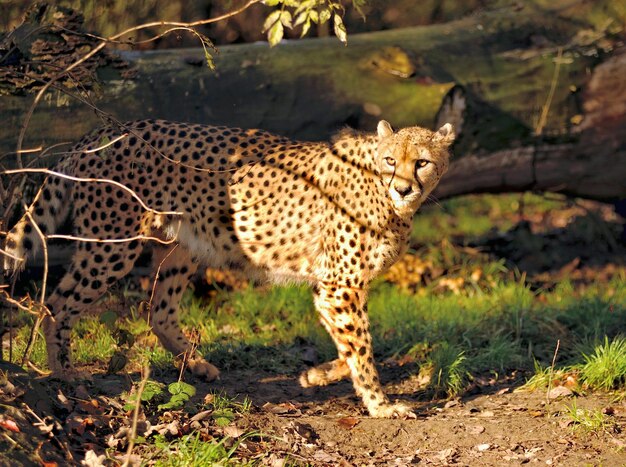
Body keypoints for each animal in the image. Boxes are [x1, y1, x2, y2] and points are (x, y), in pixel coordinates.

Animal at [3, 119, 454, 418]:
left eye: (422, 162)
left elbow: (351, 347)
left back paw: (197, 365)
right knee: (57, 303)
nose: (404, 188)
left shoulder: (330, 288)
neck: (388, 199)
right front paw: (380, 405)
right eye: (390, 160)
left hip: (183, 246)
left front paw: (316, 376)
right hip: (112, 246)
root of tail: (100, 132)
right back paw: (63, 375)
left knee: (158, 310)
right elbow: (361, 348)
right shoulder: (340, 286)